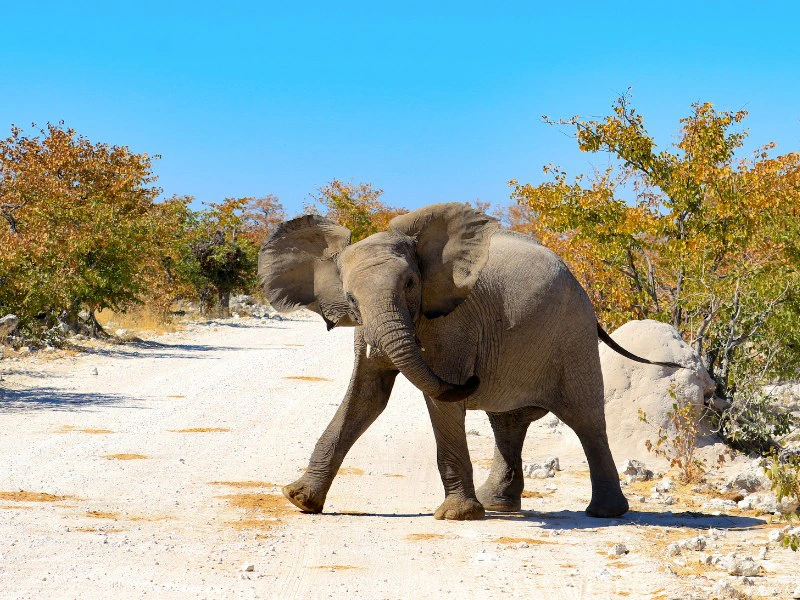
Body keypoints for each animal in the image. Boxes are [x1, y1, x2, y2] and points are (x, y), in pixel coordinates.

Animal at [258, 203, 678, 520]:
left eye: (410, 284)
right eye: (350, 298)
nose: (472, 378)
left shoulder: (453, 324)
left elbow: (439, 402)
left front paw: (457, 516)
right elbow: (365, 398)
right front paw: (299, 500)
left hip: (573, 336)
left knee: (585, 418)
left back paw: (605, 513)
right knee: (508, 422)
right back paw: (499, 505)